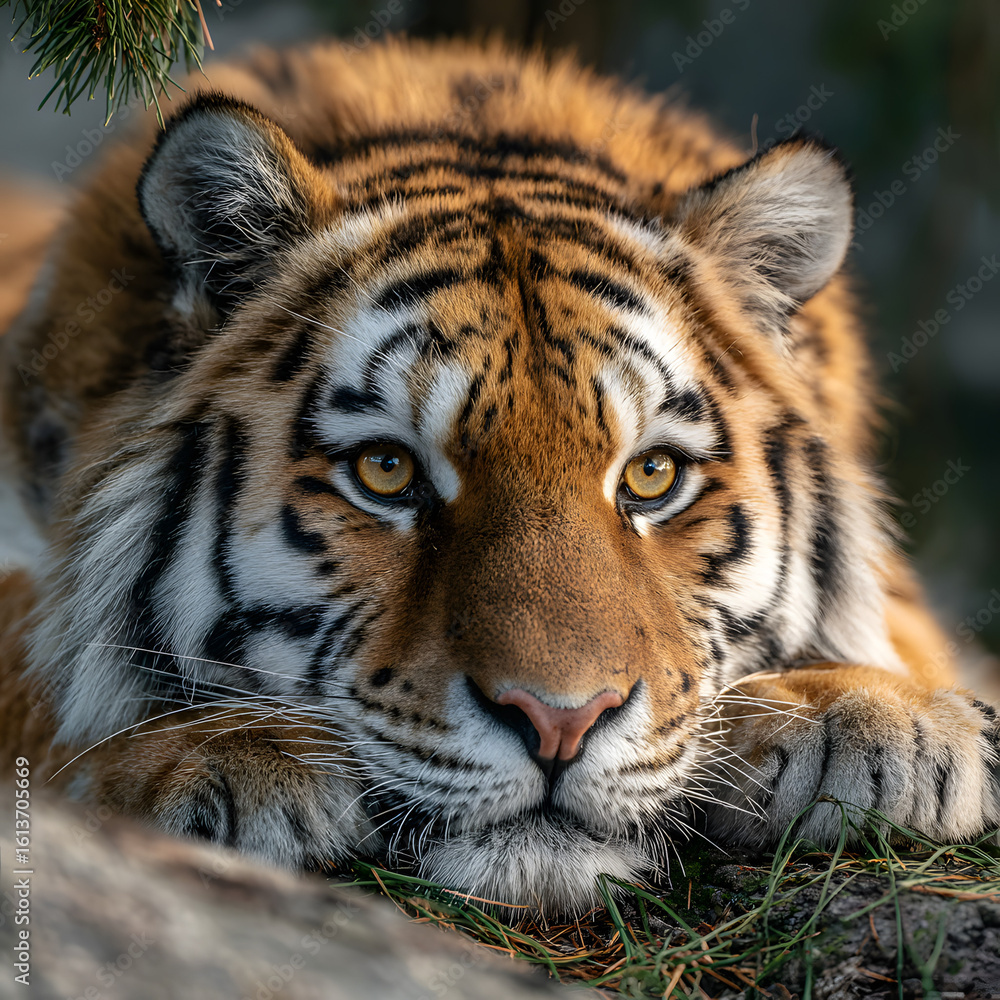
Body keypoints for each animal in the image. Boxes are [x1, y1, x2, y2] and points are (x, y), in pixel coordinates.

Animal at [1, 36, 997, 913]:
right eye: (387, 470)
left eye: (651, 476)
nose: (560, 722)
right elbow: (34, 669)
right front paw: (224, 757)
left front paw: (868, 717)